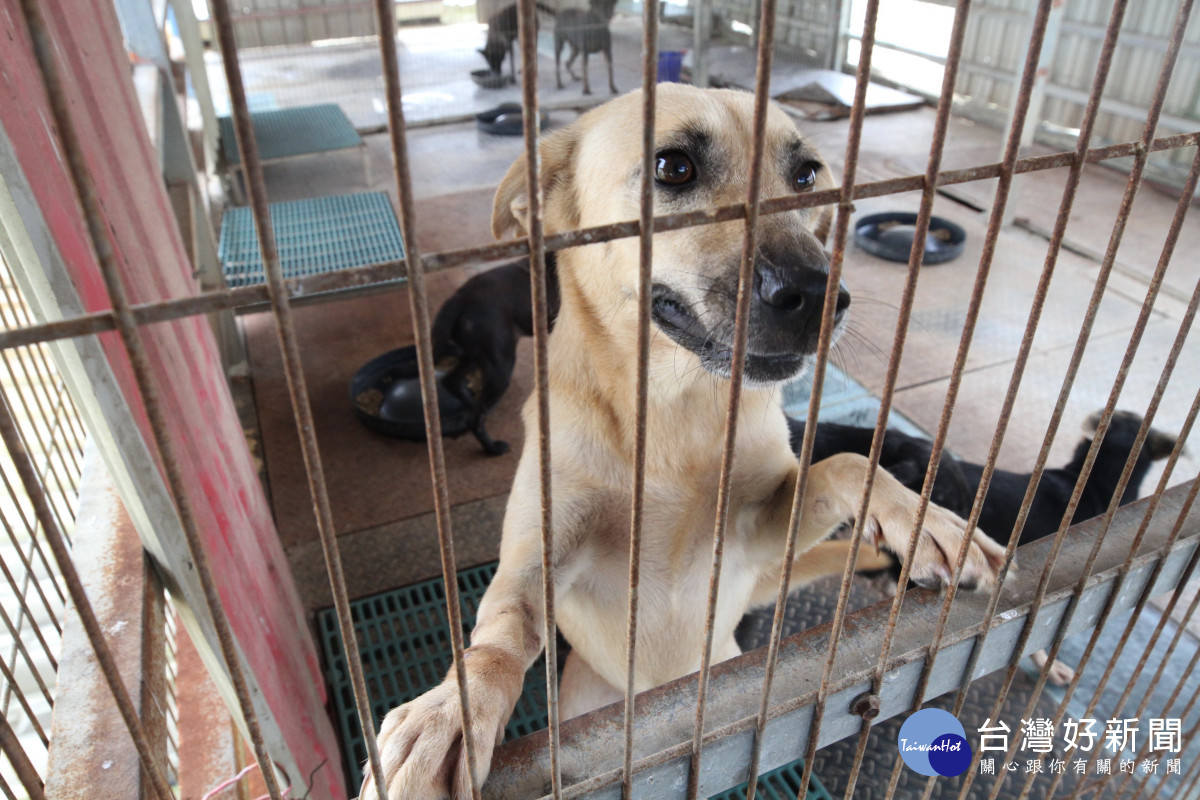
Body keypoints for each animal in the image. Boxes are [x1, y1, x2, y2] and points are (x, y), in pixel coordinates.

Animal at [362, 84, 1003, 796]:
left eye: (806, 176)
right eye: (673, 167)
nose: (821, 296)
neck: (676, 415)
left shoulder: (757, 537)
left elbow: (847, 462)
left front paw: (925, 522)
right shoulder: (541, 551)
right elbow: (501, 630)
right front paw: (453, 710)